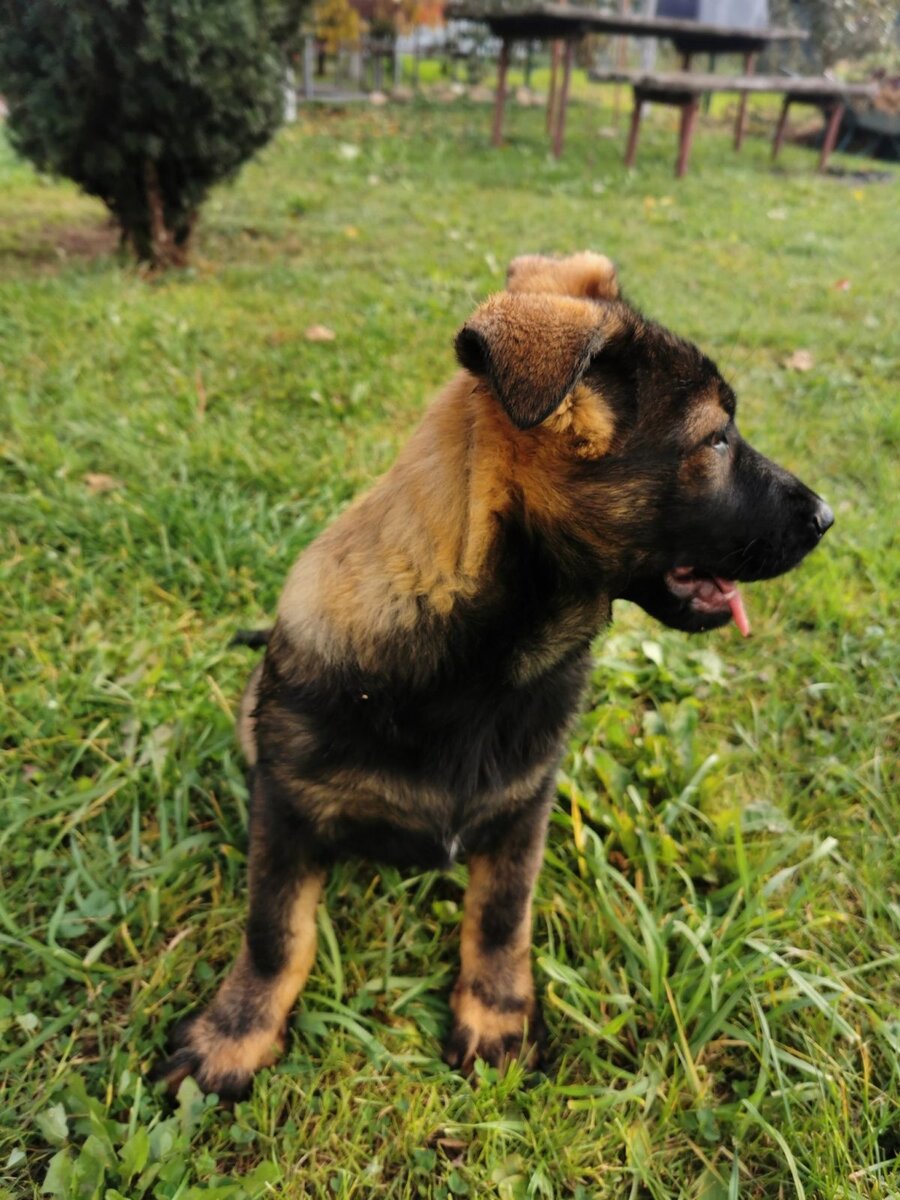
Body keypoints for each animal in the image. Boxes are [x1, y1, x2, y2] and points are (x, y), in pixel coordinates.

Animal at [151, 253, 835, 1099]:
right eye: (714, 439)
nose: (829, 517)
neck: (481, 665)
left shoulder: (522, 810)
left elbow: (501, 917)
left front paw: (496, 1013)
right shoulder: (287, 809)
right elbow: (276, 932)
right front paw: (235, 1035)